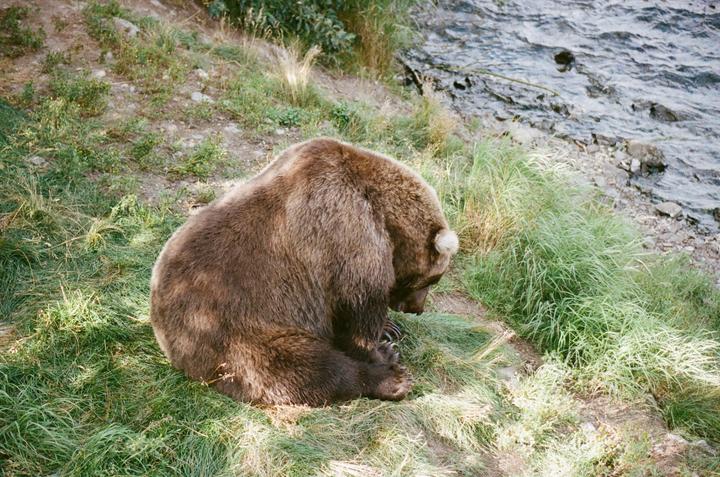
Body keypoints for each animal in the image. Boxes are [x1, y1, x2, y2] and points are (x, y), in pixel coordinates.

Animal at [149, 138, 458, 406]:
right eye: (433, 279)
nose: (417, 309)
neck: (385, 215)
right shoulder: (346, 235)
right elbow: (357, 310)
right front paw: (379, 349)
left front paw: (389, 329)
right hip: (236, 333)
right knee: (303, 369)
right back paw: (391, 378)